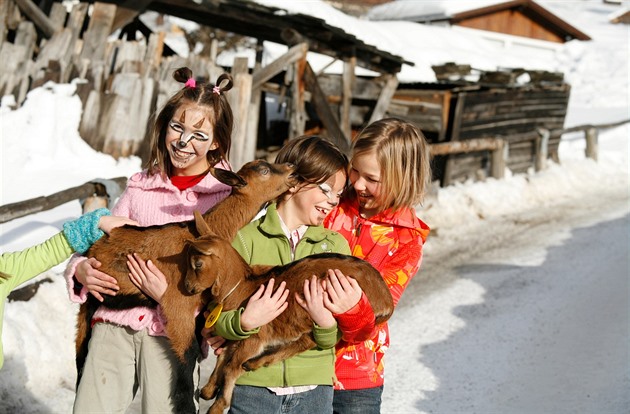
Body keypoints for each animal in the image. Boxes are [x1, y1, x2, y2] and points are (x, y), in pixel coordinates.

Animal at [76, 160, 298, 412]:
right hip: (91, 296)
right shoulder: (177, 302)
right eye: (264, 171)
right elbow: (188, 355)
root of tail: (93, 249)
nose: (292, 169)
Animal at [185, 210, 398, 414]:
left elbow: (230, 367)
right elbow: (222, 356)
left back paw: (254, 363)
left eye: (197, 264)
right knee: (307, 341)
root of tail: (385, 298)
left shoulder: (255, 337)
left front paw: (217, 406)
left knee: (307, 341)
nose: (188, 287)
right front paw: (208, 390)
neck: (243, 288)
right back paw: (255, 363)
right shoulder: (238, 333)